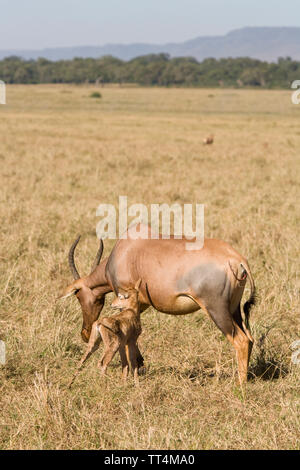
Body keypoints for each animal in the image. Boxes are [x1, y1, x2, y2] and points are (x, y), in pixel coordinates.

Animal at [60, 225, 255, 386]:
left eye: (78, 295)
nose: (85, 334)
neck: (126, 250)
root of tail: (237, 260)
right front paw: (139, 365)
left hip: (216, 310)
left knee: (241, 340)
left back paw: (239, 385)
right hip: (234, 309)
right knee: (250, 338)